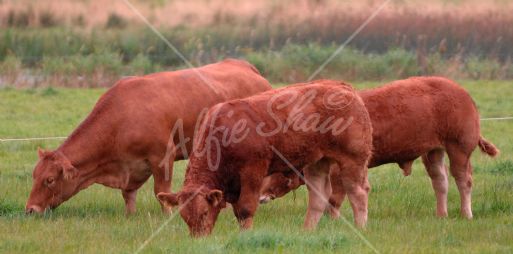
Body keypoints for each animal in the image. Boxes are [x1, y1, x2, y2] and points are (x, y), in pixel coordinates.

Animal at [24, 59, 272, 214]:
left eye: (49, 180)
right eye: (34, 175)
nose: (30, 210)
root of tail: (247, 68)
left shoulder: (163, 156)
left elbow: (161, 191)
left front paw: (168, 215)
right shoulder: (131, 167)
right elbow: (128, 194)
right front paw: (130, 216)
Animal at [157, 80, 372, 237]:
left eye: (203, 212)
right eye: (184, 216)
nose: (198, 238)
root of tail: (343, 87)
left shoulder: (253, 171)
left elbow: (246, 208)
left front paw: (245, 236)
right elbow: (238, 211)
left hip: (353, 160)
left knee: (358, 192)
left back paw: (360, 227)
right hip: (317, 162)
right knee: (319, 196)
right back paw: (307, 231)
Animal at [258, 76, 498, 219]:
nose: (260, 196)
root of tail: (459, 90)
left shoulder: (339, 169)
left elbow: (334, 198)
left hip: (459, 148)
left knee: (463, 180)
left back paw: (466, 214)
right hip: (433, 152)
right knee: (441, 181)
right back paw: (441, 214)